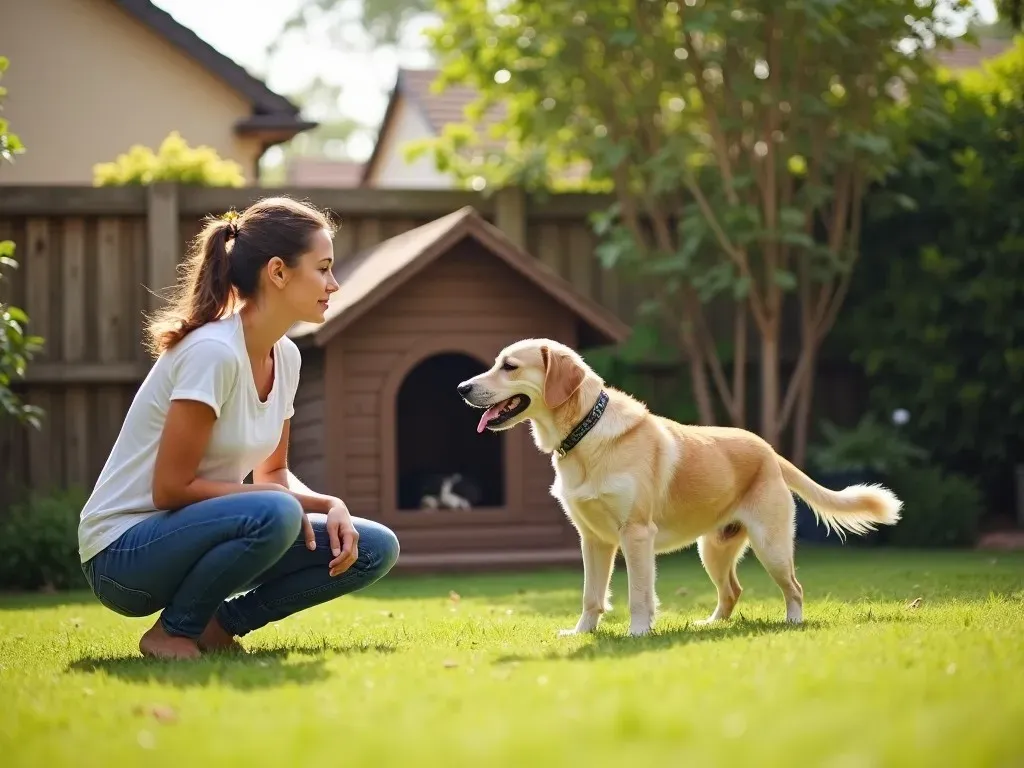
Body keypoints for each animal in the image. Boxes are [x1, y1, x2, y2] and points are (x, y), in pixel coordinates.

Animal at [458, 339, 905, 638]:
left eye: (509, 366)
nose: (461, 388)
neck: (585, 435)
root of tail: (768, 450)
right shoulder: (594, 540)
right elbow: (591, 596)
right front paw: (582, 633)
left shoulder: (636, 535)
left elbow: (639, 593)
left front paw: (638, 633)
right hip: (714, 549)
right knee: (733, 591)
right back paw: (709, 625)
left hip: (771, 546)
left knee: (794, 587)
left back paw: (792, 622)